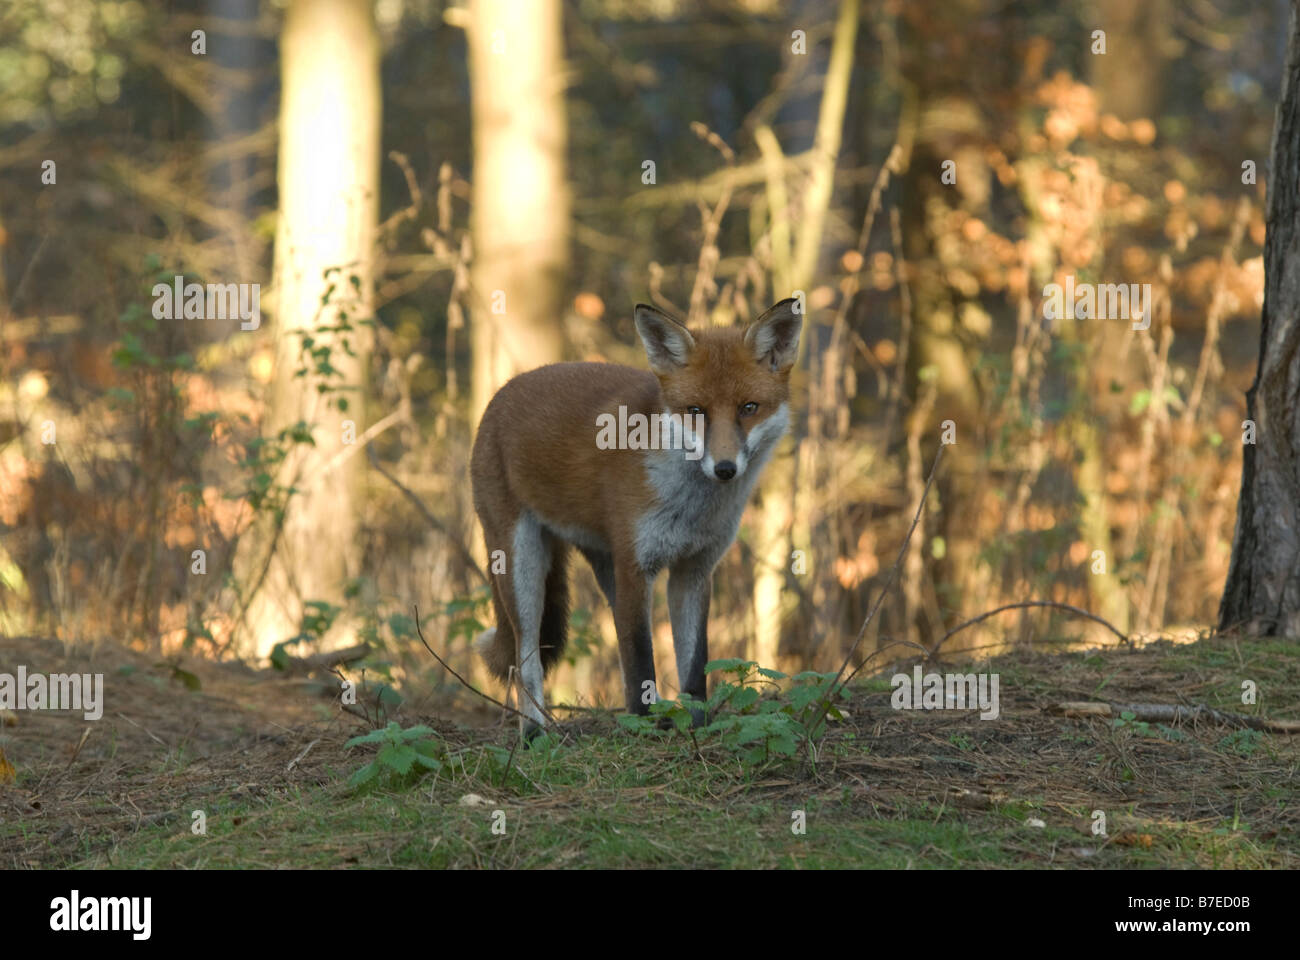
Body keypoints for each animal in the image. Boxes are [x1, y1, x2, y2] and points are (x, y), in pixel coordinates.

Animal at [470, 298, 801, 739]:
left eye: (748, 408)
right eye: (696, 411)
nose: (725, 468)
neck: (689, 506)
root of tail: (504, 390)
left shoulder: (694, 571)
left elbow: (694, 665)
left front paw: (696, 728)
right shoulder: (635, 565)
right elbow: (641, 659)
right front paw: (645, 729)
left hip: (604, 568)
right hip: (522, 566)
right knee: (527, 659)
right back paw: (534, 733)